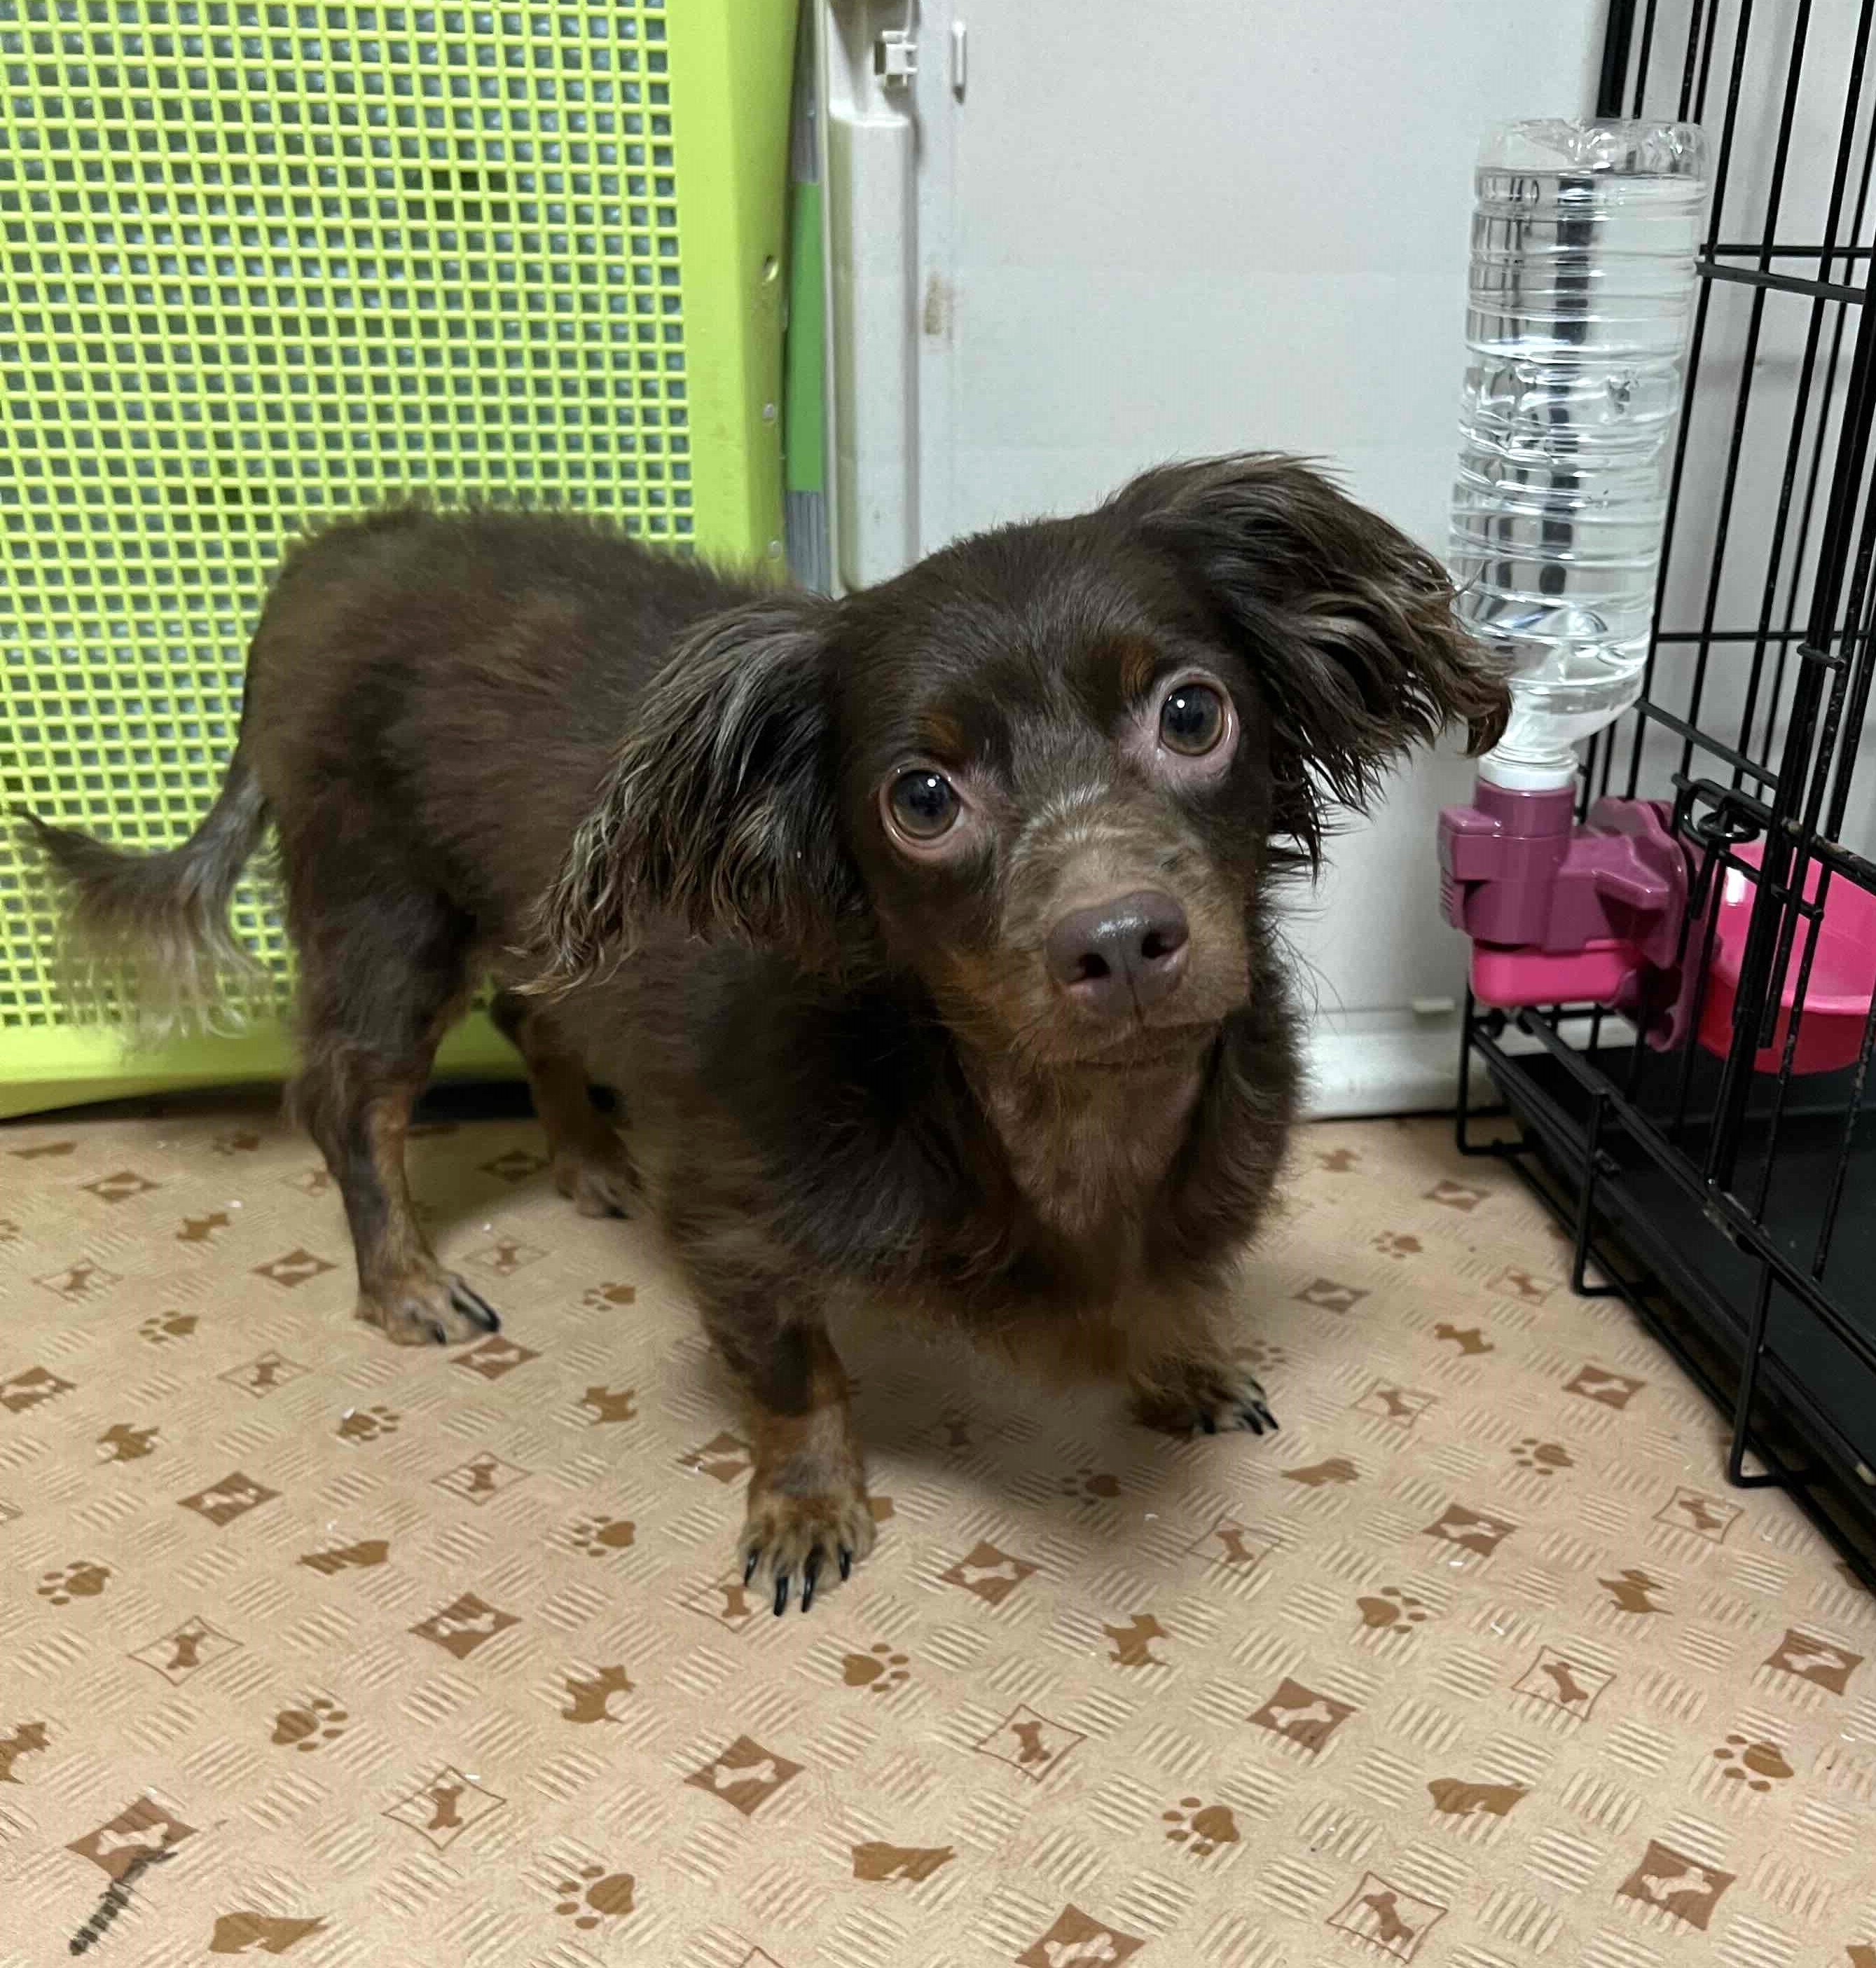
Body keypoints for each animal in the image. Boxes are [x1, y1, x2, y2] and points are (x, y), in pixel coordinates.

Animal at [22, 454, 1506, 1612]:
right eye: (920, 796)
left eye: (1192, 711)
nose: (1120, 939)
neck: (1034, 1104)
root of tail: (335, 547)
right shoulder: (732, 1218)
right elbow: (794, 1375)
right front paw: (804, 1508)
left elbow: (1169, 1283)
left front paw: (1177, 1356)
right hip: (384, 915)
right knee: (353, 1104)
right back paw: (404, 1280)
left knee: (529, 1012)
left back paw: (588, 1160)